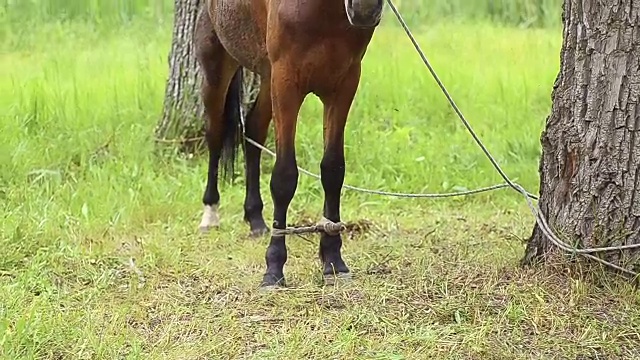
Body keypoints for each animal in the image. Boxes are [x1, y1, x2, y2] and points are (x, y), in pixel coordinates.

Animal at [195, 0, 382, 286]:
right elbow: (284, 178)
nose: (365, 9)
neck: (324, 11)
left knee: (254, 131)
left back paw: (256, 219)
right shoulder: (286, 82)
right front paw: (274, 268)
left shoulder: (344, 83)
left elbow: (333, 170)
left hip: (266, 75)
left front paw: (333, 261)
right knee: (214, 137)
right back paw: (210, 213)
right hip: (217, 69)